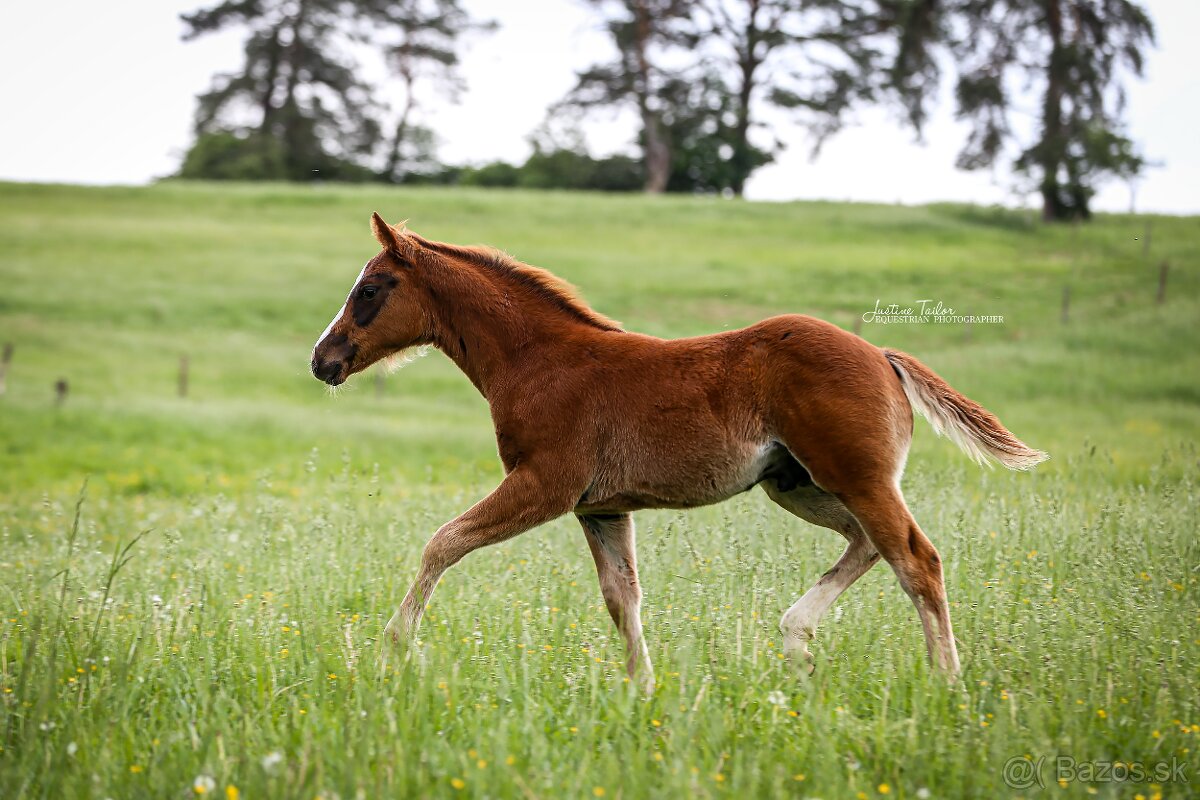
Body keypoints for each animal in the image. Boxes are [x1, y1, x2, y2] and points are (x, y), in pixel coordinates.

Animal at [307, 214, 1041, 690]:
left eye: (368, 290)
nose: (323, 360)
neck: (538, 360)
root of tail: (882, 356)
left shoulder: (545, 484)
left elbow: (443, 542)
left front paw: (392, 648)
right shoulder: (599, 507)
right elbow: (622, 598)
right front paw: (643, 690)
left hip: (856, 477)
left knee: (916, 558)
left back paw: (947, 681)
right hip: (797, 484)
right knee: (869, 545)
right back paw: (796, 640)